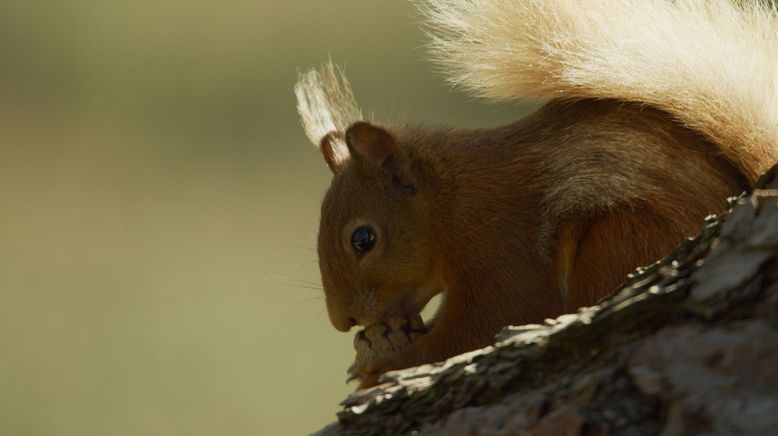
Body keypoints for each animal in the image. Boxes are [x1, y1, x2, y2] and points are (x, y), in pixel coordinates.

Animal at [292, 0, 776, 388]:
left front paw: (383, 365)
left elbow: (486, 325)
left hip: (617, 239)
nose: (342, 321)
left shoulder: (501, 249)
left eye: (363, 239)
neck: (451, 203)